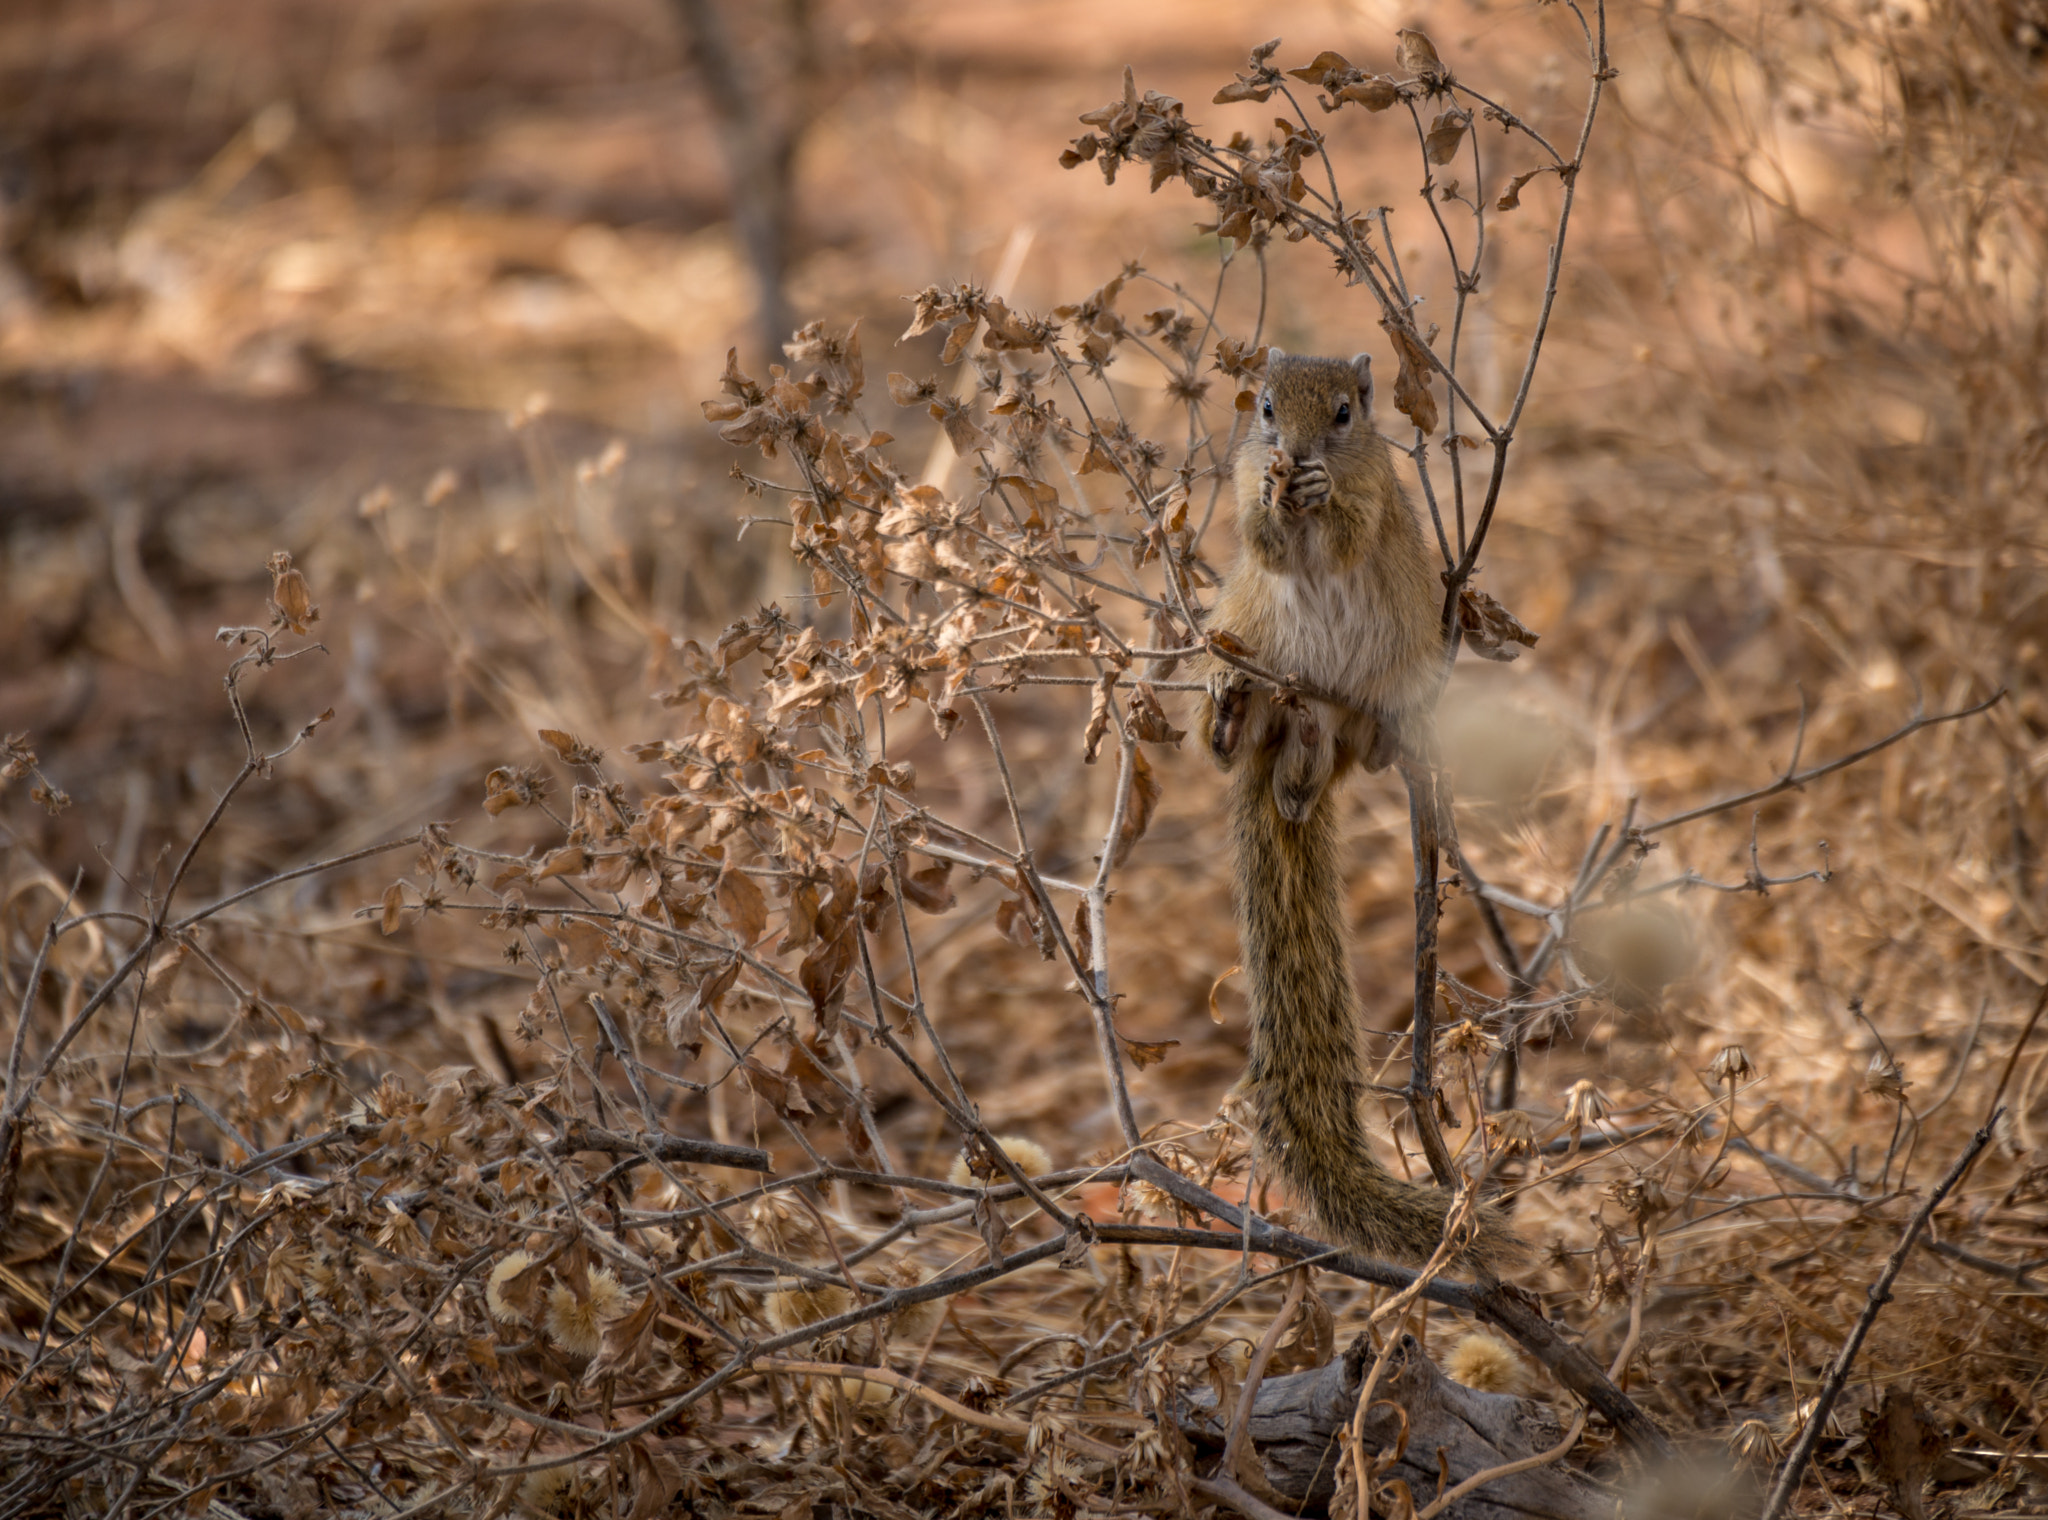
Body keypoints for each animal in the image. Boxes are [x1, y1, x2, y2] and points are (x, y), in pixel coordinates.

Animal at [1196, 350, 1523, 1278]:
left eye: (1346, 413)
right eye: (1266, 408)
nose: (1298, 454)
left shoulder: (1374, 492)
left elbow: (1349, 530)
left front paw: (1320, 494)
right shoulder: (1248, 491)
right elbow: (1262, 537)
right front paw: (1279, 499)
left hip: (1383, 692)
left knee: (1345, 750)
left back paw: (1333, 754)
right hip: (1245, 633)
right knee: (1245, 732)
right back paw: (1231, 717)